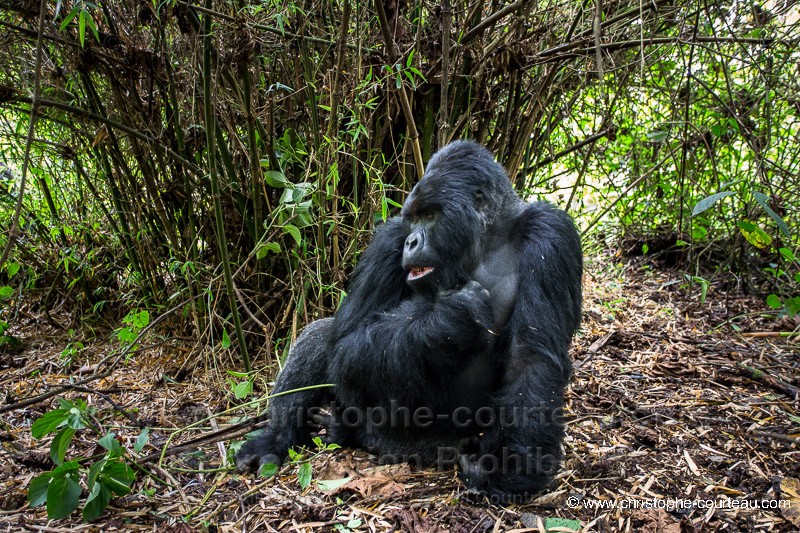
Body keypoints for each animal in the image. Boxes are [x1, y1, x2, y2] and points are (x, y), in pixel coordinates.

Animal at [236, 139, 580, 496]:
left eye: (429, 215)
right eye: (412, 220)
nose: (412, 241)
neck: (484, 243)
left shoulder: (551, 234)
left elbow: (531, 358)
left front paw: (512, 469)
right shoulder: (388, 239)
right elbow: (346, 343)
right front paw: (451, 317)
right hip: (375, 429)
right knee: (323, 337)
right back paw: (280, 438)